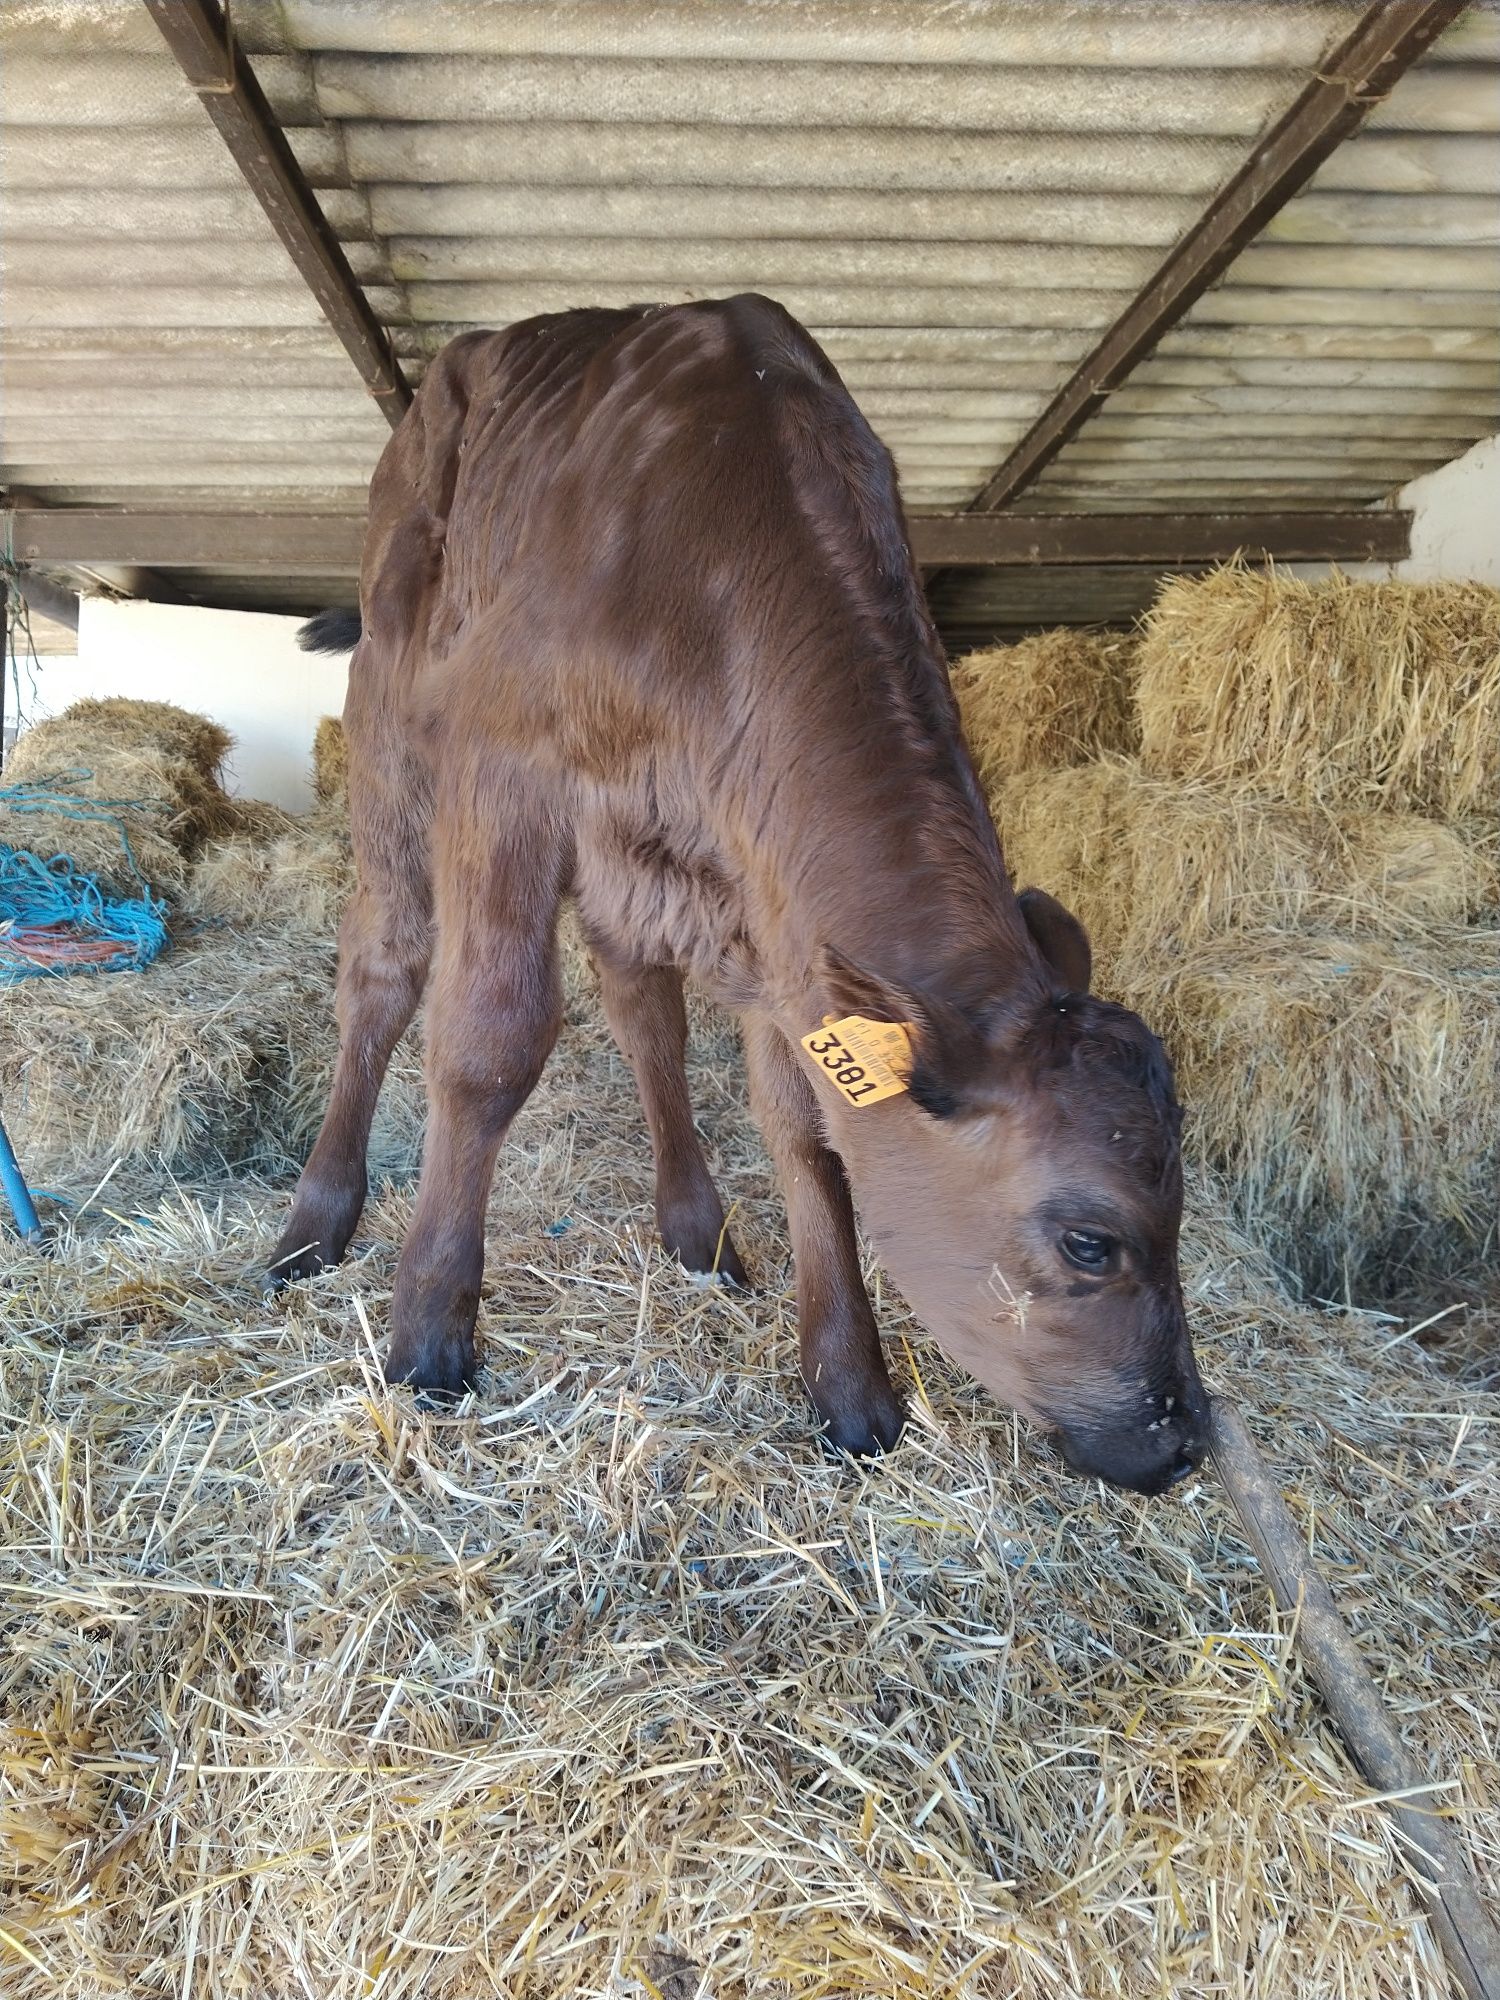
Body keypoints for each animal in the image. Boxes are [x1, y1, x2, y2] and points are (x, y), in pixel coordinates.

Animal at [274, 290, 1208, 1496]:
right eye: (1093, 1240)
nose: (1182, 1438)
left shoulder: (769, 894)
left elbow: (805, 1124)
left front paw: (850, 1382)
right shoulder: (502, 767)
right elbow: (488, 1047)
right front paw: (429, 1333)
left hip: (632, 860)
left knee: (643, 1011)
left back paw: (698, 1227)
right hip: (393, 723)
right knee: (384, 967)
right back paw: (314, 1224)